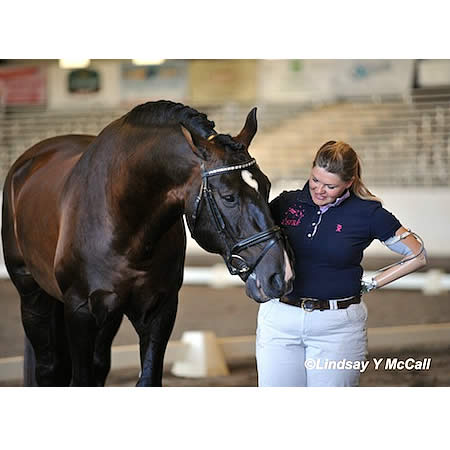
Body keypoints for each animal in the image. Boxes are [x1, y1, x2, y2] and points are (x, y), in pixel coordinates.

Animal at [1, 101, 294, 386]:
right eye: (229, 197)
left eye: (267, 186)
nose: (280, 275)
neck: (123, 223)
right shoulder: (79, 311)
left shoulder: (159, 310)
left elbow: (147, 379)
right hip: (32, 295)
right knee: (49, 369)